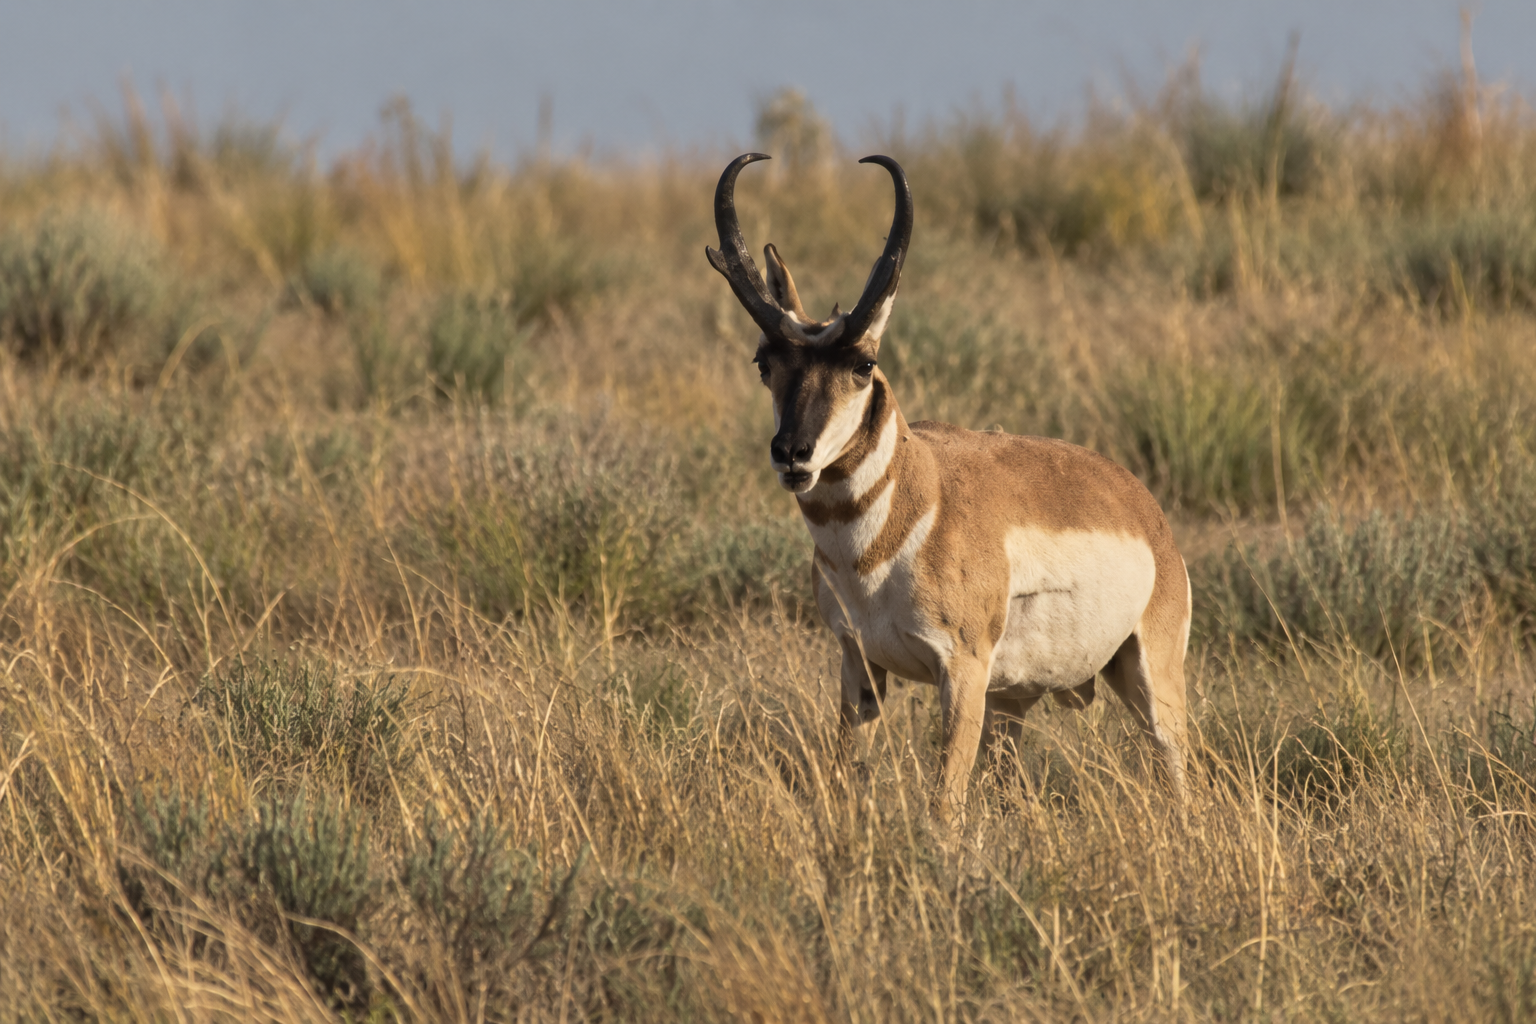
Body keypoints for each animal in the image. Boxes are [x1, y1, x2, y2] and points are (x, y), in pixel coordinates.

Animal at [706, 153, 1190, 821]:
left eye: (863, 364)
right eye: (764, 362)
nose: (792, 455)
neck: (911, 505)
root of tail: (1141, 504)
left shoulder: (960, 674)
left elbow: (943, 807)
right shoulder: (859, 666)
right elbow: (846, 777)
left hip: (1150, 682)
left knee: (1179, 773)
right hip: (1011, 707)